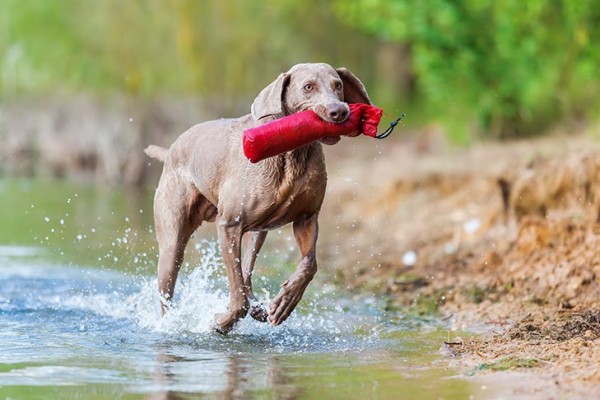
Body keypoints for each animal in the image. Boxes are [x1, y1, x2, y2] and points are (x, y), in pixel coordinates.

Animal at [145, 61, 370, 332]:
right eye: (308, 87)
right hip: (172, 242)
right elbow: (237, 296)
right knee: (170, 290)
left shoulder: (307, 217)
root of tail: (171, 150)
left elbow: (310, 263)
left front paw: (285, 301)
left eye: (337, 85)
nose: (339, 111)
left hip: (258, 231)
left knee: (247, 269)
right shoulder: (229, 225)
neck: (292, 154)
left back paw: (258, 306)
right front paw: (222, 322)